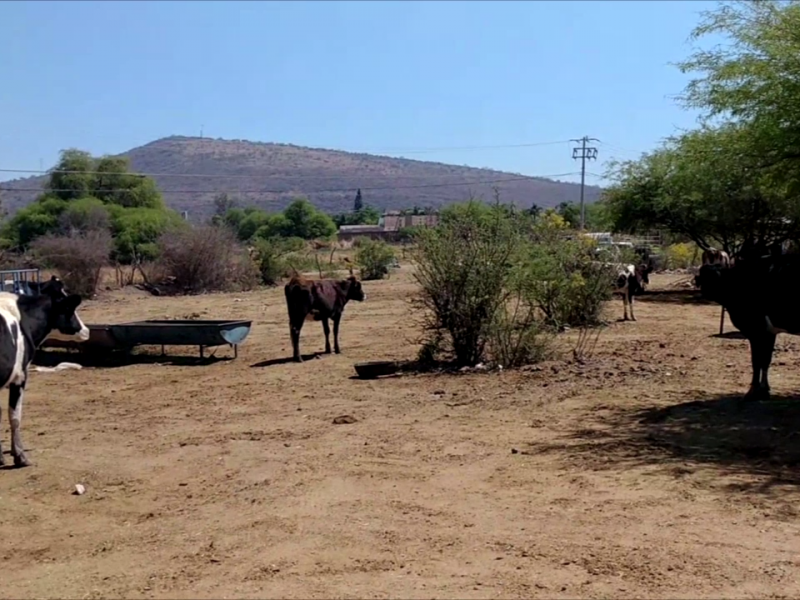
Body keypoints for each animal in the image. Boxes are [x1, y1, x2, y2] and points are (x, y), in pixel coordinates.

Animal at [692, 253, 800, 398]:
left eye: (716, 276)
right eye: (704, 276)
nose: (707, 292)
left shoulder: (756, 331)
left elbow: (756, 361)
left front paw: (753, 391)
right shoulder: (769, 332)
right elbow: (766, 360)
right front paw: (764, 389)